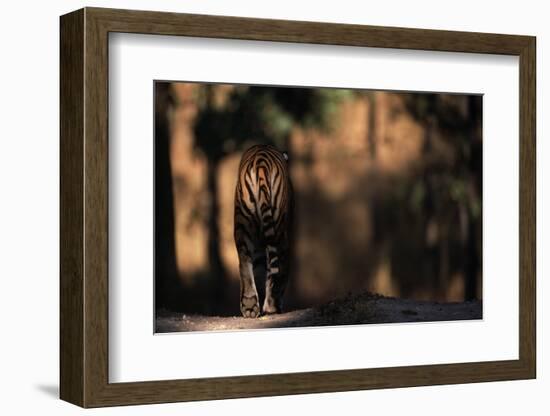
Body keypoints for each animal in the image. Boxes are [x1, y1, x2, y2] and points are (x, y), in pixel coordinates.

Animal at [233, 145, 294, 316]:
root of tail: (261, 162)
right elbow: (282, 272)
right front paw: (273, 304)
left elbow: (260, 271)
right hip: (278, 228)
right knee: (277, 267)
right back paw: (271, 305)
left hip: (243, 222)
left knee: (244, 259)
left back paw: (249, 305)